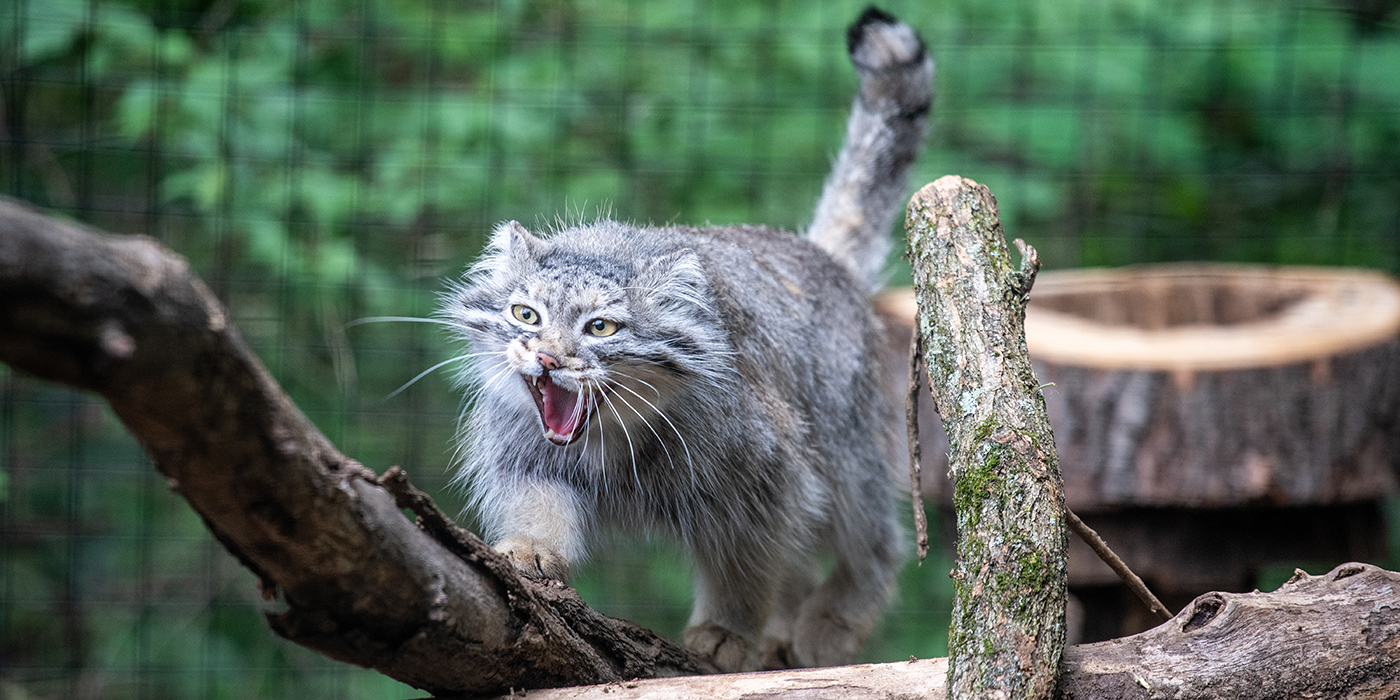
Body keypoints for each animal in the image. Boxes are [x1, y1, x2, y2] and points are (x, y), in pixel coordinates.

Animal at [442, 6, 935, 672]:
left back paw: (831, 620)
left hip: (848, 454)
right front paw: (530, 549)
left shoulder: (764, 479)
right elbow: (539, 506)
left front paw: (727, 632)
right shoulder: (526, 455)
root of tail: (819, 256)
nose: (546, 357)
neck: (612, 438)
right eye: (526, 315)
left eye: (601, 327)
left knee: (875, 542)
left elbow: (745, 567)